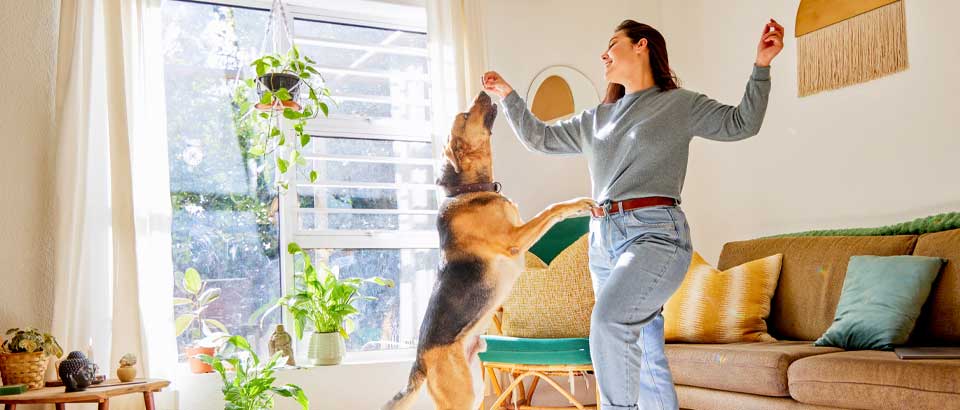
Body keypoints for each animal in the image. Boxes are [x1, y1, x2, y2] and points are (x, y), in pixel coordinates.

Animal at [380, 93, 592, 410]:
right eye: (465, 117)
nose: (483, 91)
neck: (469, 189)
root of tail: (419, 362)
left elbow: (553, 215)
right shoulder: (514, 239)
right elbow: (552, 209)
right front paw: (578, 203)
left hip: (476, 389)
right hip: (461, 395)